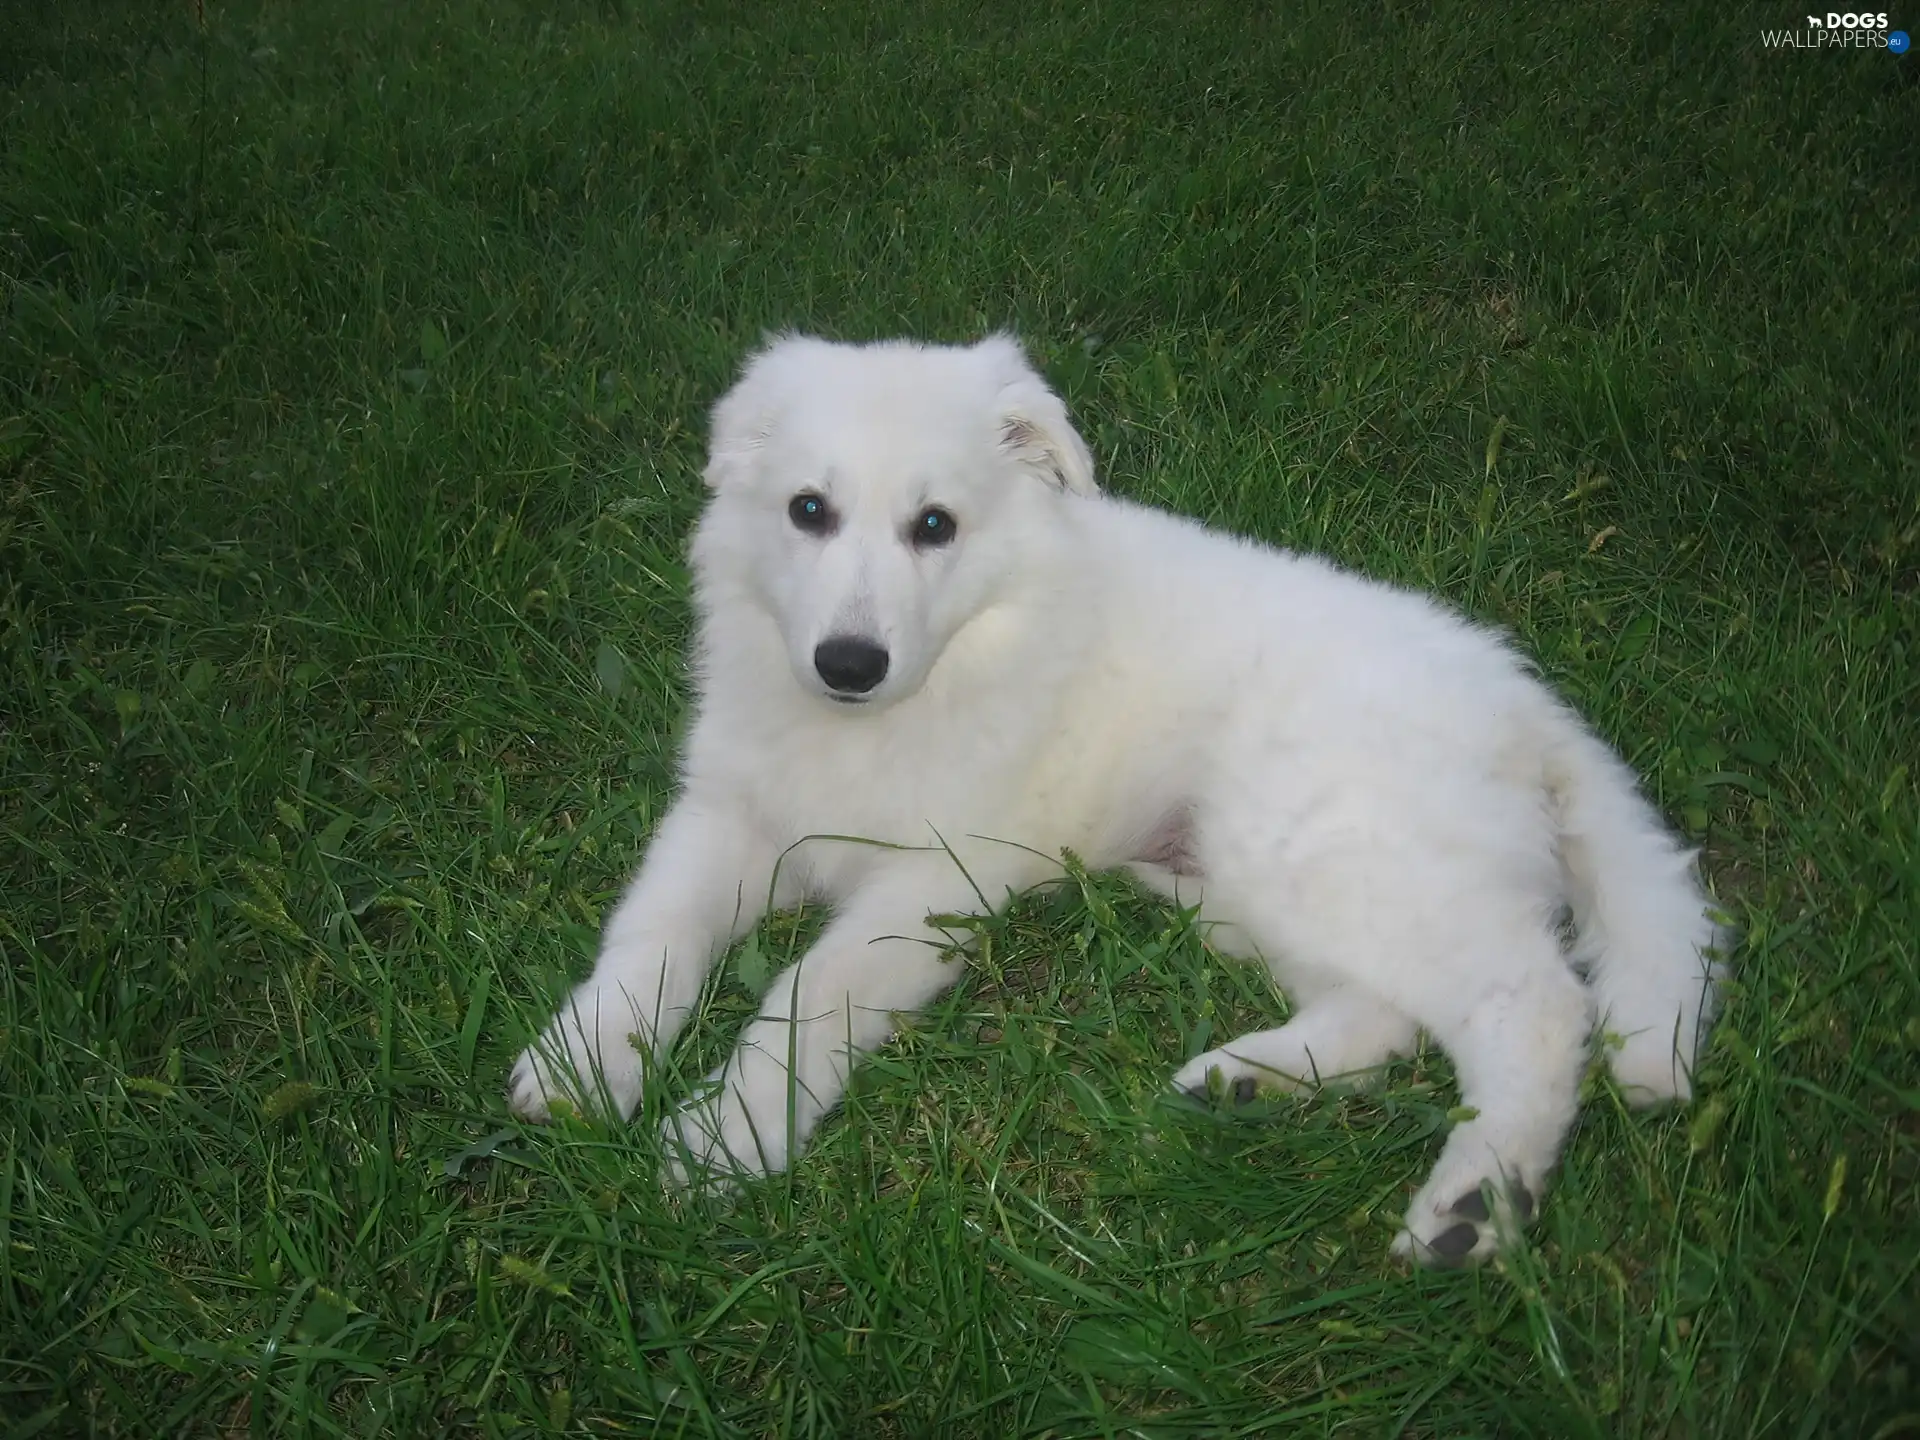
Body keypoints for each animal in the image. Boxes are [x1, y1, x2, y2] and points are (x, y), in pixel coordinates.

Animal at [510, 332, 1728, 1267]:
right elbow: (651, 938)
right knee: (1388, 1015)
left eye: (935, 526)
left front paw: (727, 1136)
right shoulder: (729, 813)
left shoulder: (934, 876)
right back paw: (1244, 1085)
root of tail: (1526, 702)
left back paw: (1477, 1203)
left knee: (1534, 1004)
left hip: (1328, 842)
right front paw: (585, 1064)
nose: (848, 663)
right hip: (1264, 879)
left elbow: (807, 996)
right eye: (807, 510)